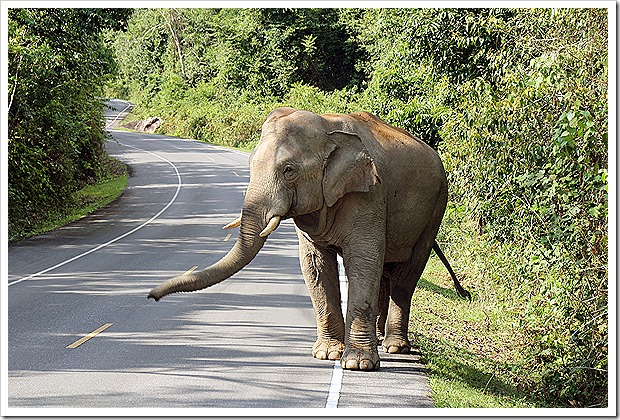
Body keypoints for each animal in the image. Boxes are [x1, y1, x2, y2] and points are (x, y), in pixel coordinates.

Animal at [149, 107, 470, 370]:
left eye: (289, 170)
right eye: (250, 164)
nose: (152, 296)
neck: (328, 127)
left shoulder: (369, 195)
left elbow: (363, 261)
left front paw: (357, 364)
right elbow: (314, 264)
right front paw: (327, 354)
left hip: (435, 208)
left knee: (405, 276)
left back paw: (394, 347)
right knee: (386, 274)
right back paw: (380, 340)